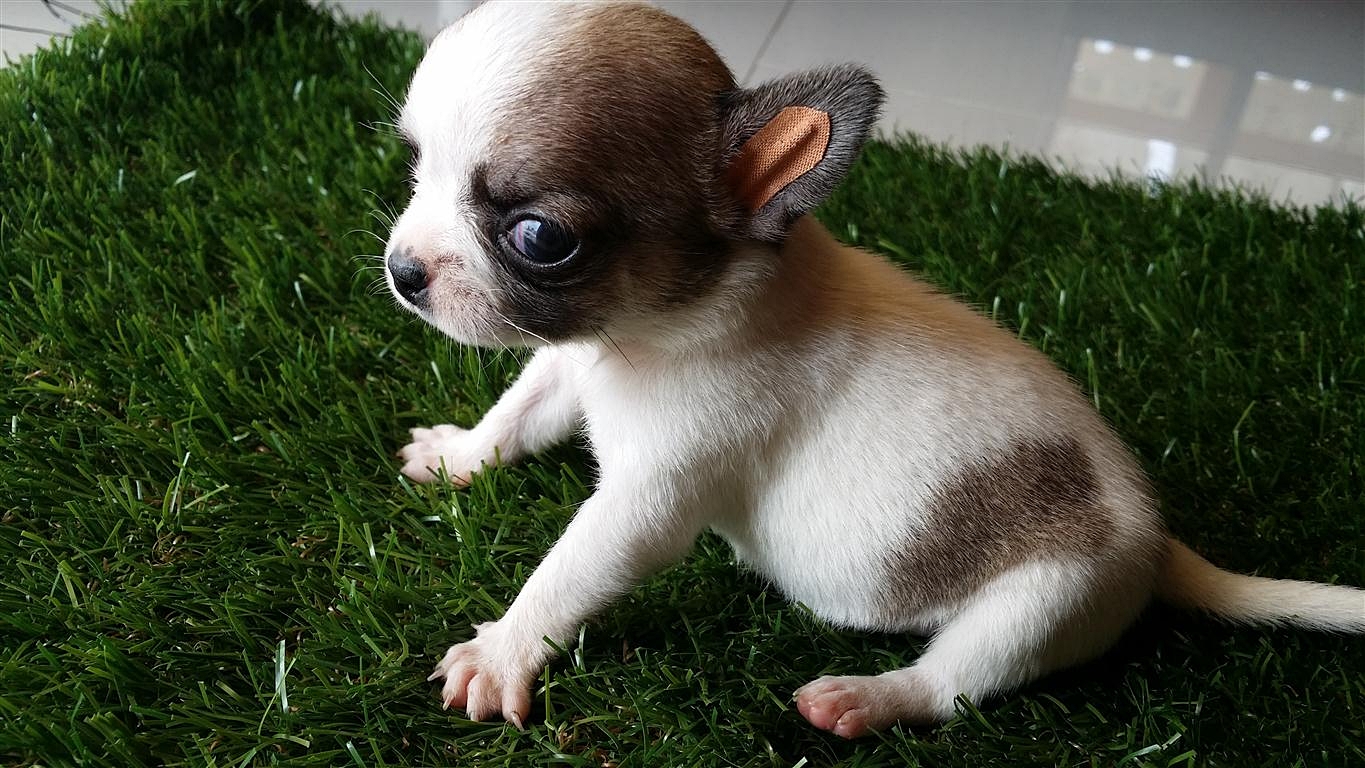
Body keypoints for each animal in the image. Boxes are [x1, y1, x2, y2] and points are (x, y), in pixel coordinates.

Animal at [381, 0, 1364, 738]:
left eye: (540, 238)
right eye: (415, 166)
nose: (402, 271)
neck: (655, 331)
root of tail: (1160, 545)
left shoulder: (647, 503)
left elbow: (571, 571)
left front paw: (504, 649)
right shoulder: (567, 367)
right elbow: (517, 413)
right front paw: (460, 455)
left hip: (1043, 602)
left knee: (960, 681)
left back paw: (871, 698)